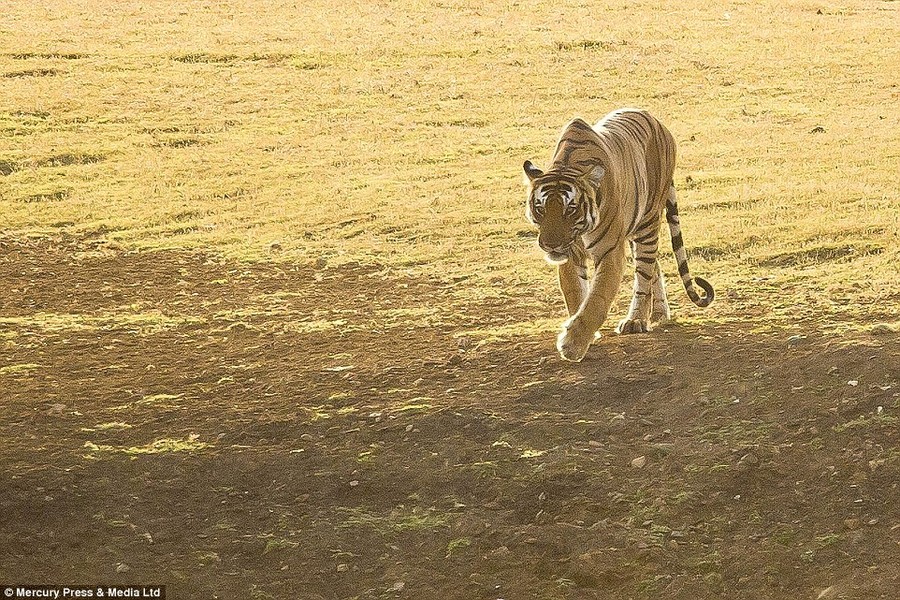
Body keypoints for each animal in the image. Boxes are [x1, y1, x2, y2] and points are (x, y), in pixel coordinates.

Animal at [524, 106, 712, 360]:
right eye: (540, 208)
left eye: (570, 209)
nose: (550, 245)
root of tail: (659, 123)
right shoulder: (571, 253)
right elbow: (575, 293)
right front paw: (581, 333)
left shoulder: (610, 251)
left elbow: (597, 300)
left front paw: (572, 344)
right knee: (653, 265)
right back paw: (659, 314)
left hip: (647, 223)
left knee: (644, 273)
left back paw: (636, 320)